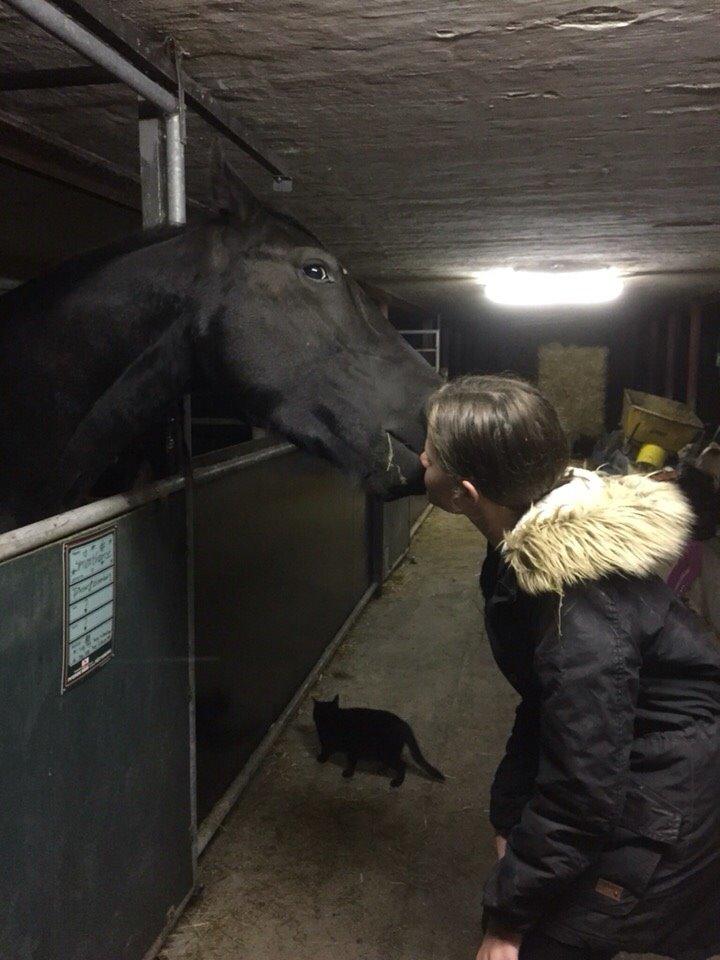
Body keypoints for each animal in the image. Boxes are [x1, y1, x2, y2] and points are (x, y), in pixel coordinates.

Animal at [314, 696, 448, 788]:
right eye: (320, 714)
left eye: (332, 713)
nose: (326, 721)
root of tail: (403, 723)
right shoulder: (329, 743)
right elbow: (329, 751)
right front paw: (323, 758)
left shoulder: (351, 749)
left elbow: (349, 762)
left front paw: (347, 772)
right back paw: (382, 769)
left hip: (387, 753)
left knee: (402, 765)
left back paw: (397, 782)